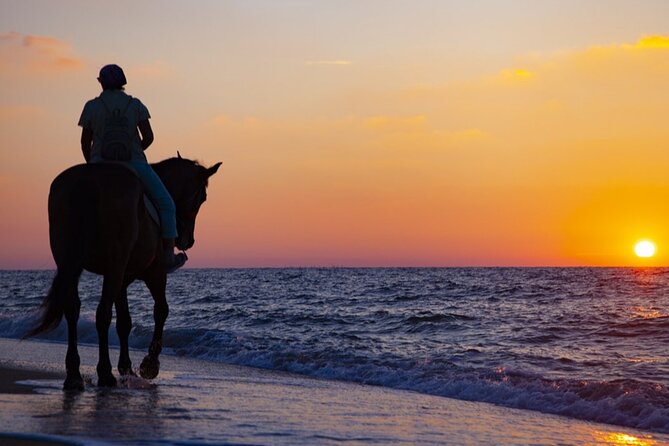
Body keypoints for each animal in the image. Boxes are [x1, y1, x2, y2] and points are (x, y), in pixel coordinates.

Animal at [26, 154, 222, 390]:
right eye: (202, 198)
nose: (188, 240)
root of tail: (87, 181)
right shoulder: (154, 273)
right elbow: (161, 310)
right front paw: (150, 365)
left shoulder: (122, 280)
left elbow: (124, 322)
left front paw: (126, 367)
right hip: (114, 267)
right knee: (102, 314)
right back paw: (104, 373)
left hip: (72, 264)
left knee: (73, 309)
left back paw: (74, 374)